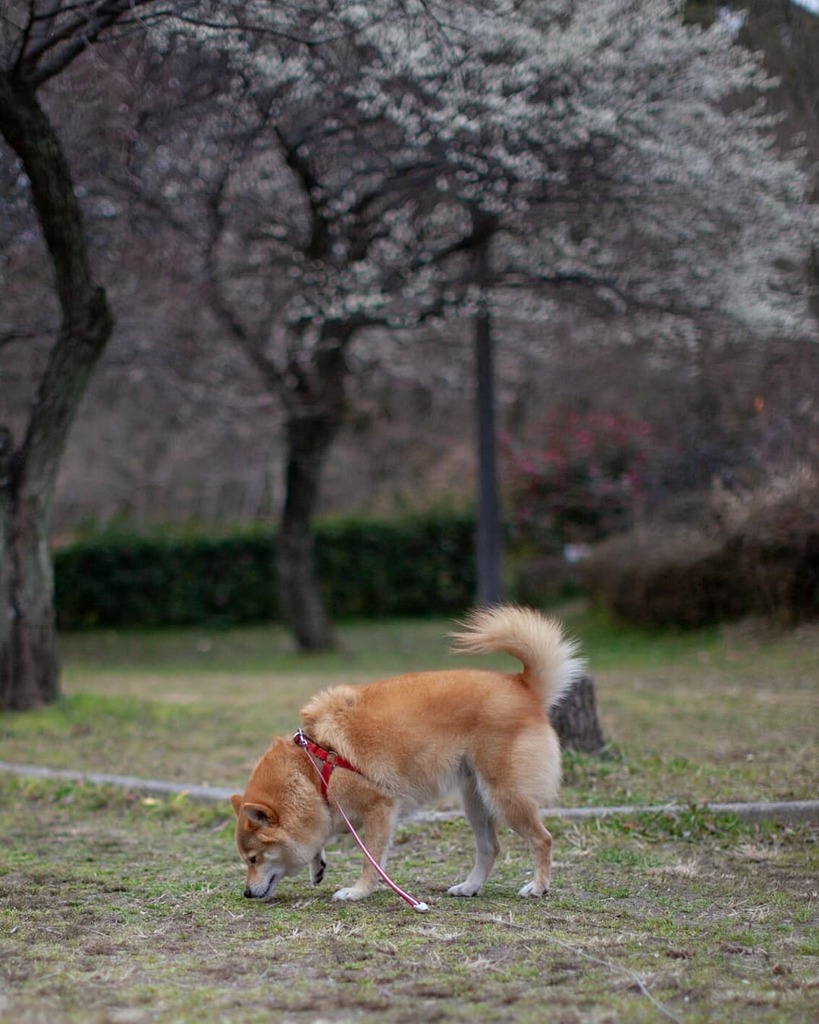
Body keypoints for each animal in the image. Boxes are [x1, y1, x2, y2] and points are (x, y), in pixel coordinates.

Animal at [230, 602, 581, 901]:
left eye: (253, 858)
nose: (246, 893)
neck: (313, 765)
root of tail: (523, 685)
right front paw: (318, 865)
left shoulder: (379, 808)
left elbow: (371, 859)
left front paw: (358, 891)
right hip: (475, 799)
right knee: (490, 847)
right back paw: (470, 887)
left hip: (504, 795)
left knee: (542, 839)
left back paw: (538, 886)